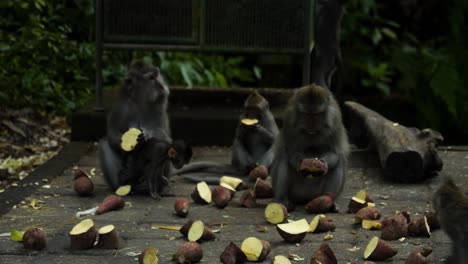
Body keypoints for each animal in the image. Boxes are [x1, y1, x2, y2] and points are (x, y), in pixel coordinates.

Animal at [98, 60, 192, 200]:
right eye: (151, 78)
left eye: (157, 75)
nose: (162, 86)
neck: (139, 102)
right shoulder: (119, 109)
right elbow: (113, 136)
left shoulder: (160, 106)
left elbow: (165, 135)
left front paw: (148, 134)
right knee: (104, 144)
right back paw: (123, 186)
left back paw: (156, 187)